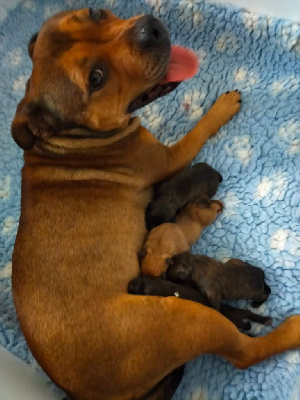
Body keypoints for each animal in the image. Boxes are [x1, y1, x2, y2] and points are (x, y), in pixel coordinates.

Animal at [128, 276, 272, 332]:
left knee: (247, 316)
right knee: (248, 315)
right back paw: (262, 322)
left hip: (235, 314)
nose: (129, 285)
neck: (170, 289)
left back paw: (262, 321)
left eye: (142, 291)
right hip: (237, 313)